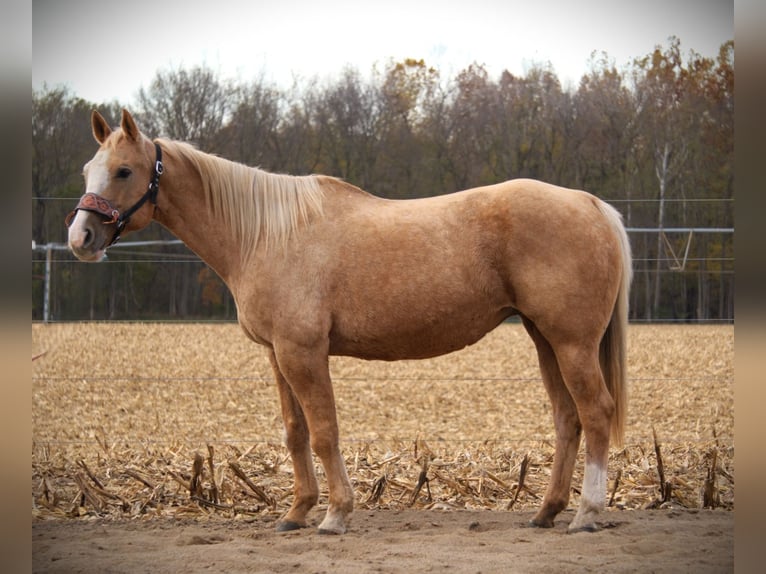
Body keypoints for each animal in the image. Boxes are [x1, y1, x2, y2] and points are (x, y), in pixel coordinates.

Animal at [67, 109, 632, 535]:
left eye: (124, 171)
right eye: (87, 170)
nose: (81, 238)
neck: (265, 234)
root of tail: (591, 205)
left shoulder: (303, 352)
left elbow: (324, 432)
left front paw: (336, 514)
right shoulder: (277, 354)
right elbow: (295, 432)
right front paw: (296, 512)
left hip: (572, 343)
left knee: (596, 412)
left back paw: (587, 513)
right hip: (545, 339)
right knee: (568, 418)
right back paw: (546, 512)